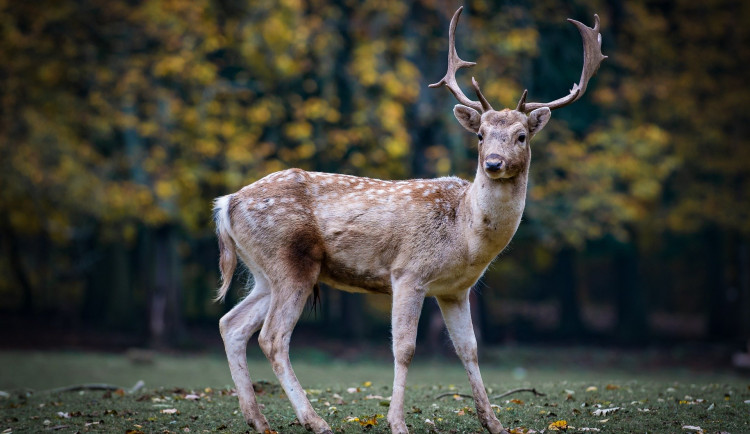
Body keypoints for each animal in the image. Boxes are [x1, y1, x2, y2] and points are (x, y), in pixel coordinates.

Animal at [214, 6, 608, 434]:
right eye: (481, 135)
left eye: (521, 136)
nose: (493, 163)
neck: (465, 234)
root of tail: (227, 202)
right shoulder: (408, 272)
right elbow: (404, 348)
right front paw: (397, 422)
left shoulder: (456, 290)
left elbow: (469, 349)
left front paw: (494, 423)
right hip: (290, 261)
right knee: (272, 337)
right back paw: (314, 421)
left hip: (264, 271)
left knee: (231, 324)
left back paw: (258, 419)